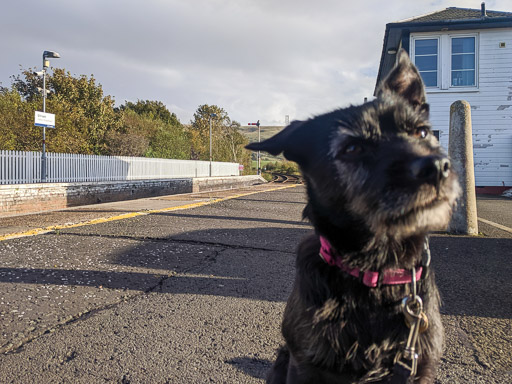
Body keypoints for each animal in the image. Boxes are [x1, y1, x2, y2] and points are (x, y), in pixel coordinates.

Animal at [247, 49, 460, 382]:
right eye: (352, 147)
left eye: (422, 132)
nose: (437, 167)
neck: (377, 270)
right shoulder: (304, 363)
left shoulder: (419, 365)